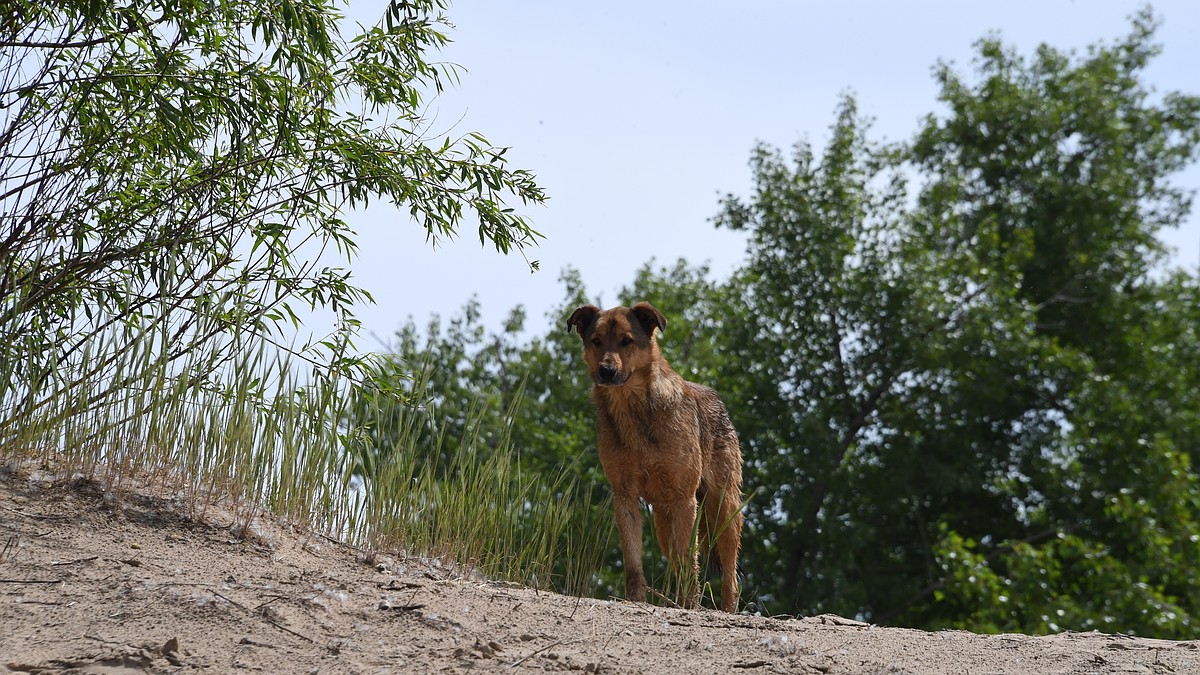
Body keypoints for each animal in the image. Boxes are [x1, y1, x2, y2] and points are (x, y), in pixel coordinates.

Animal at [561, 299, 739, 610]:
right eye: (596, 341)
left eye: (626, 341)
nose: (606, 372)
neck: (633, 410)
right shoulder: (625, 497)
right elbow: (634, 564)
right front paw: (636, 601)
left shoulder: (684, 499)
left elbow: (689, 562)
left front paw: (690, 605)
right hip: (664, 524)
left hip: (722, 511)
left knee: (730, 577)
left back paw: (726, 611)